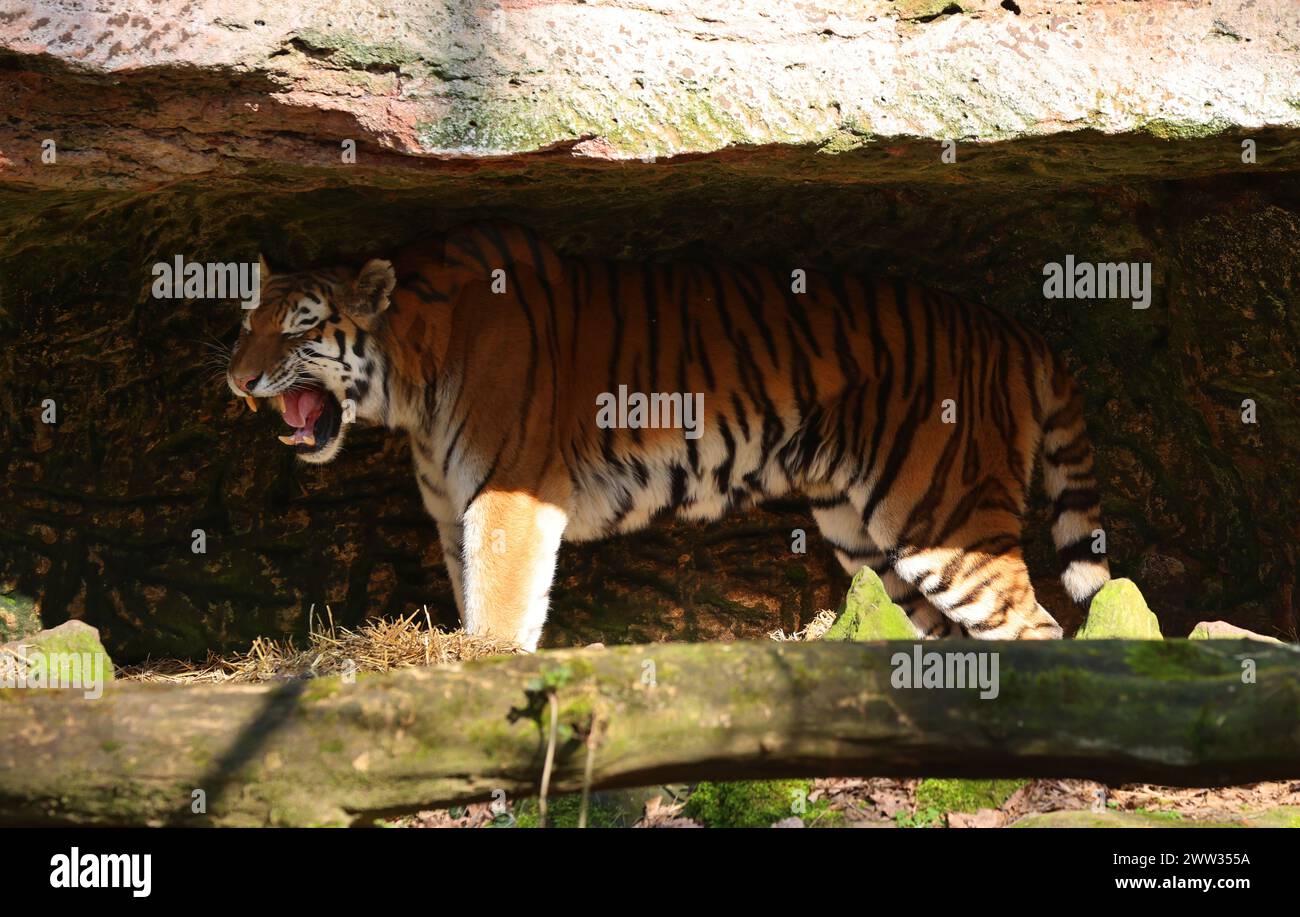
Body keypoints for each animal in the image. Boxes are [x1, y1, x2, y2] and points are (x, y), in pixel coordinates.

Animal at [228, 221, 1112, 650]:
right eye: (246, 323)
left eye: (300, 327)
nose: (236, 379)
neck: (413, 371)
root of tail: (1011, 328)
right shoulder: (454, 514)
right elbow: (472, 594)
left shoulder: (507, 501)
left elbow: (501, 610)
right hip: (867, 535)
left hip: (942, 517)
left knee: (1039, 630)